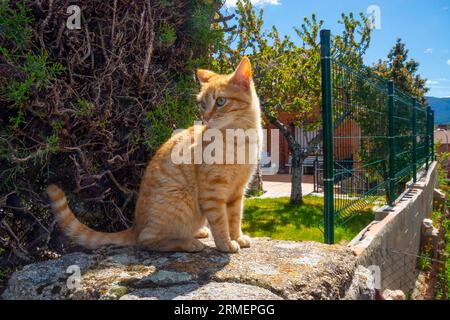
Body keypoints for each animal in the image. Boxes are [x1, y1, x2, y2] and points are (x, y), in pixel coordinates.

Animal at [47, 57, 262, 252]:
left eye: (221, 101)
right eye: (202, 104)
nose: (205, 117)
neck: (241, 139)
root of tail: (135, 226)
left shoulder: (238, 191)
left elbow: (234, 218)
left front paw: (237, 237)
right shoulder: (213, 192)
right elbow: (220, 222)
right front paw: (225, 244)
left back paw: (198, 232)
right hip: (179, 202)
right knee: (148, 241)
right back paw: (188, 243)